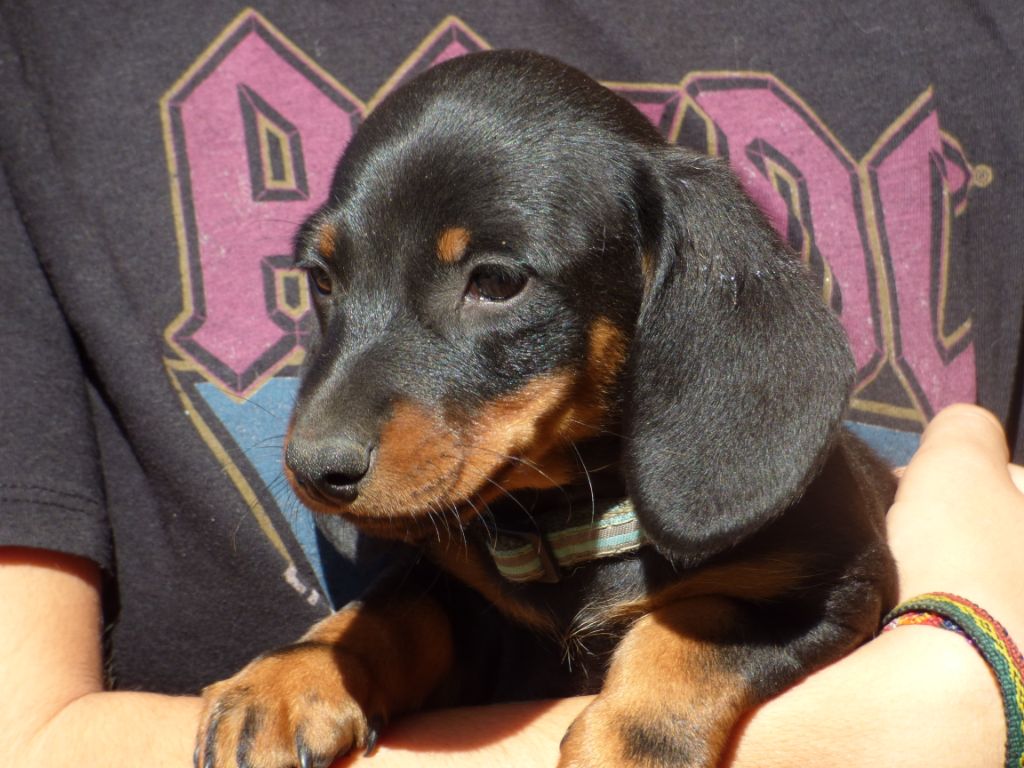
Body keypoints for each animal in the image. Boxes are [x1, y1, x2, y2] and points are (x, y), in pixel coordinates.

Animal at [195, 50, 897, 768]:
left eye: (496, 281)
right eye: (321, 278)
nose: (313, 471)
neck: (568, 525)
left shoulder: (835, 590)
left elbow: (689, 627)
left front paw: (627, 745)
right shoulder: (470, 609)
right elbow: (395, 609)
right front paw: (293, 673)